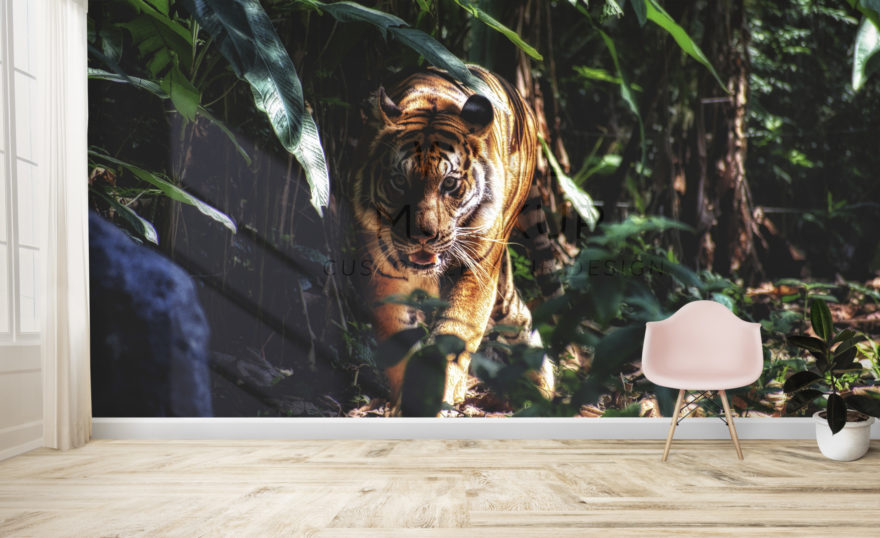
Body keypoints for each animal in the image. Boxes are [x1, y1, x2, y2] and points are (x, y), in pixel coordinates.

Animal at [353, 65, 554, 409]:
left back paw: (543, 389)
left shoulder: (477, 272)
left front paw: (434, 396)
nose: (423, 235)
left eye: (449, 184)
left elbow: (454, 332)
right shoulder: (384, 275)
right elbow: (399, 338)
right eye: (399, 181)